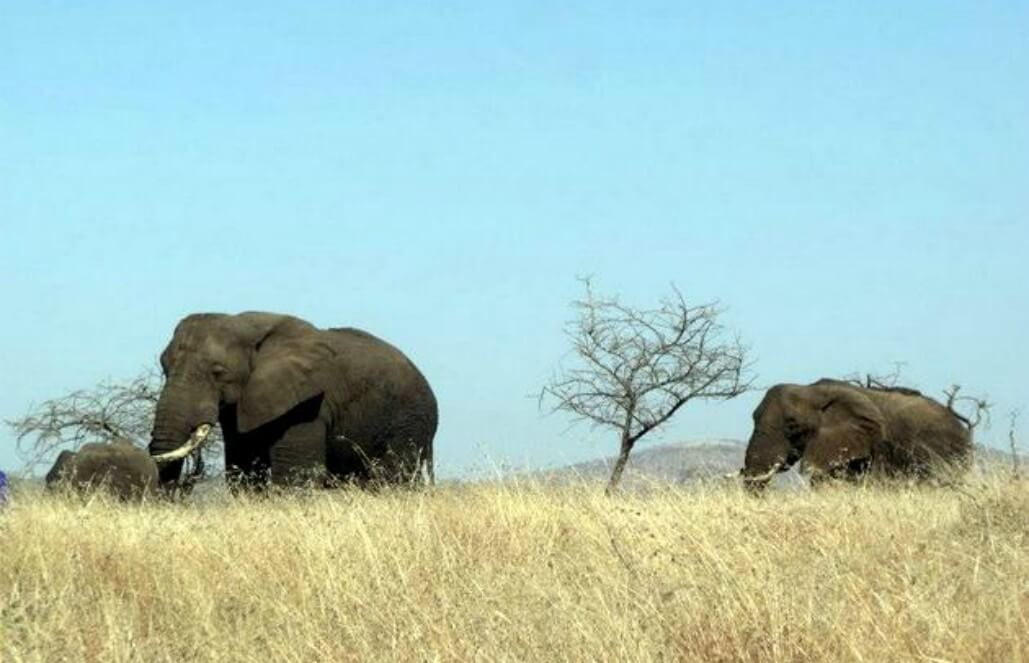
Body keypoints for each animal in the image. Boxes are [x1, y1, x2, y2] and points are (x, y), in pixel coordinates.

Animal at [147, 312, 436, 492]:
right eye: (163, 368)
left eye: (217, 372)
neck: (246, 326)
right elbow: (245, 471)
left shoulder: (306, 403)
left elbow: (294, 477)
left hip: (409, 423)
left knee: (392, 479)